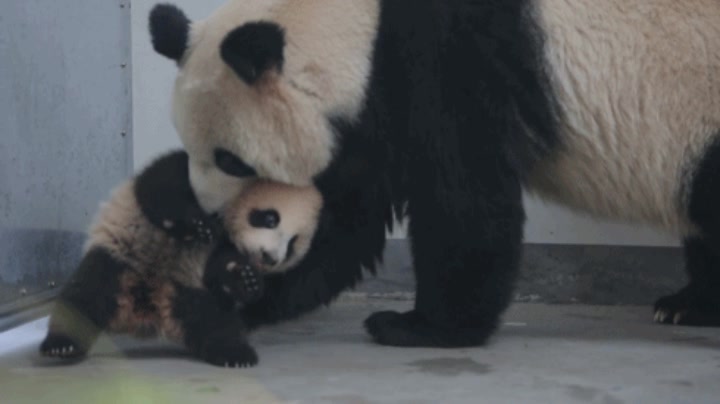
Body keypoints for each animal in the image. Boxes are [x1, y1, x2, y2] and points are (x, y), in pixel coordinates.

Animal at [149, 0, 720, 348]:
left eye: (231, 159)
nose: (208, 215)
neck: (361, 23)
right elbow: (346, 223)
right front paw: (231, 293)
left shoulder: (444, 62)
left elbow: (462, 201)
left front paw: (418, 326)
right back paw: (689, 306)